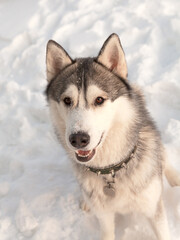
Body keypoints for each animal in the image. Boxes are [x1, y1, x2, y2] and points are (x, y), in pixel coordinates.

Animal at [45, 33, 180, 240]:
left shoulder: (153, 209)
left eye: (99, 100)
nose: (78, 139)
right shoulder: (104, 215)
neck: (110, 170)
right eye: (67, 100)